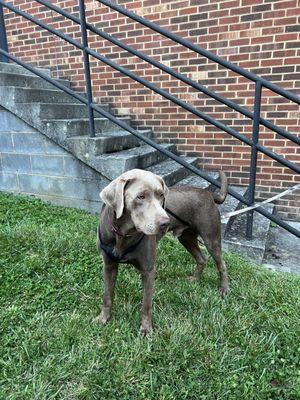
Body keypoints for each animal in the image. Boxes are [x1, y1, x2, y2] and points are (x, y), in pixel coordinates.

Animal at [95, 167, 229, 336]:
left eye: (161, 195)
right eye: (140, 196)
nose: (166, 222)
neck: (124, 234)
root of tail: (209, 193)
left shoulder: (148, 270)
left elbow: (146, 304)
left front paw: (146, 329)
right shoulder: (109, 265)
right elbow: (107, 296)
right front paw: (103, 319)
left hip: (211, 237)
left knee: (221, 264)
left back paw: (224, 289)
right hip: (186, 237)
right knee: (201, 258)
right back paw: (194, 279)